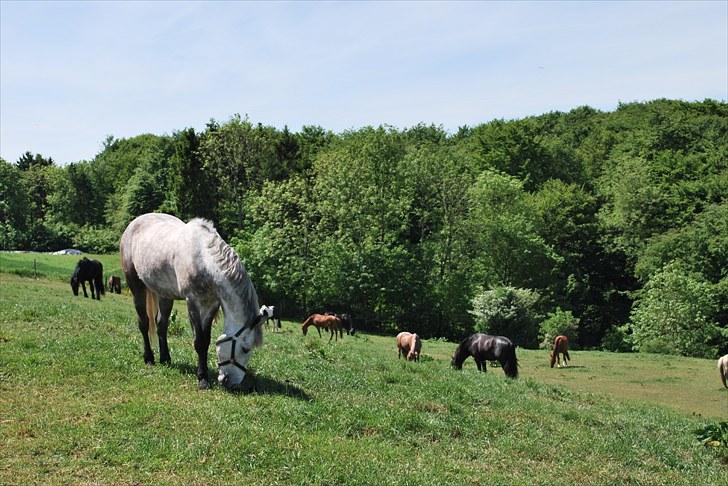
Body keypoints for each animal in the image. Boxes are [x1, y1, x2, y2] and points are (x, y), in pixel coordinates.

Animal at [121, 214, 272, 392]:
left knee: (161, 325)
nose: (233, 383)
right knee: (144, 323)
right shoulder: (193, 302)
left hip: (165, 294)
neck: (204, 259)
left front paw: (204, 373)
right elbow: (199, 342)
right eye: (245, 348)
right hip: (136, 286)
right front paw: (202, 379)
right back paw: (149, 358)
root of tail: (134, 223)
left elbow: (206, 341)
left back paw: (165, 358)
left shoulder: (211, 305)